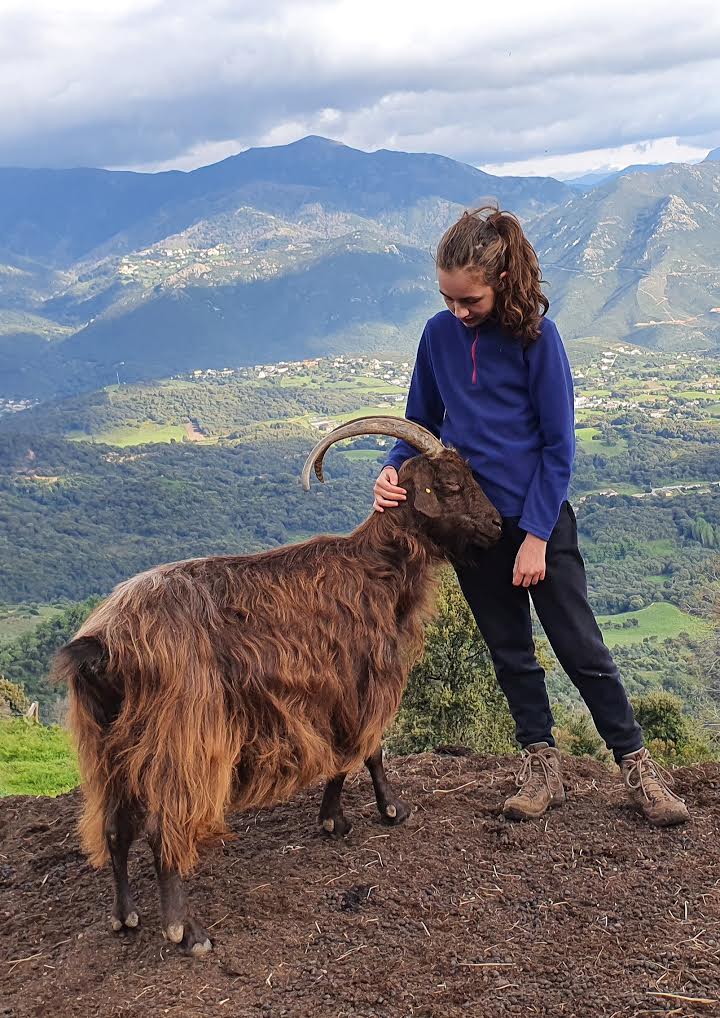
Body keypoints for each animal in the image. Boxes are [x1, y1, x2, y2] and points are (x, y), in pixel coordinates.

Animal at [53, 416, 501, 954]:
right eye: (452, 485)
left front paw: (334, 819)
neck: (377, 567)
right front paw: (391, 810)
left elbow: (342, 753)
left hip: (107, 742)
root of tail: (103, 644)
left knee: (115, 827)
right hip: (182, 734)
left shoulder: (329, 691)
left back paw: (125, 916)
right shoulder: (360, 679)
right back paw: (186, 930)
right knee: (165, 826)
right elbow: (367, 748)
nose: (498, 525)